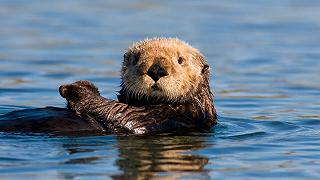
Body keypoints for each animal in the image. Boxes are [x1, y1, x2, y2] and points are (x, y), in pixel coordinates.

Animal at [0, 37, 218, 134]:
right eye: (137, 58)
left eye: (180, 60)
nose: (156, 70)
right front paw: (83, 84)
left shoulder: (172, 117)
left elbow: (121, 113)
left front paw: (74, 90)